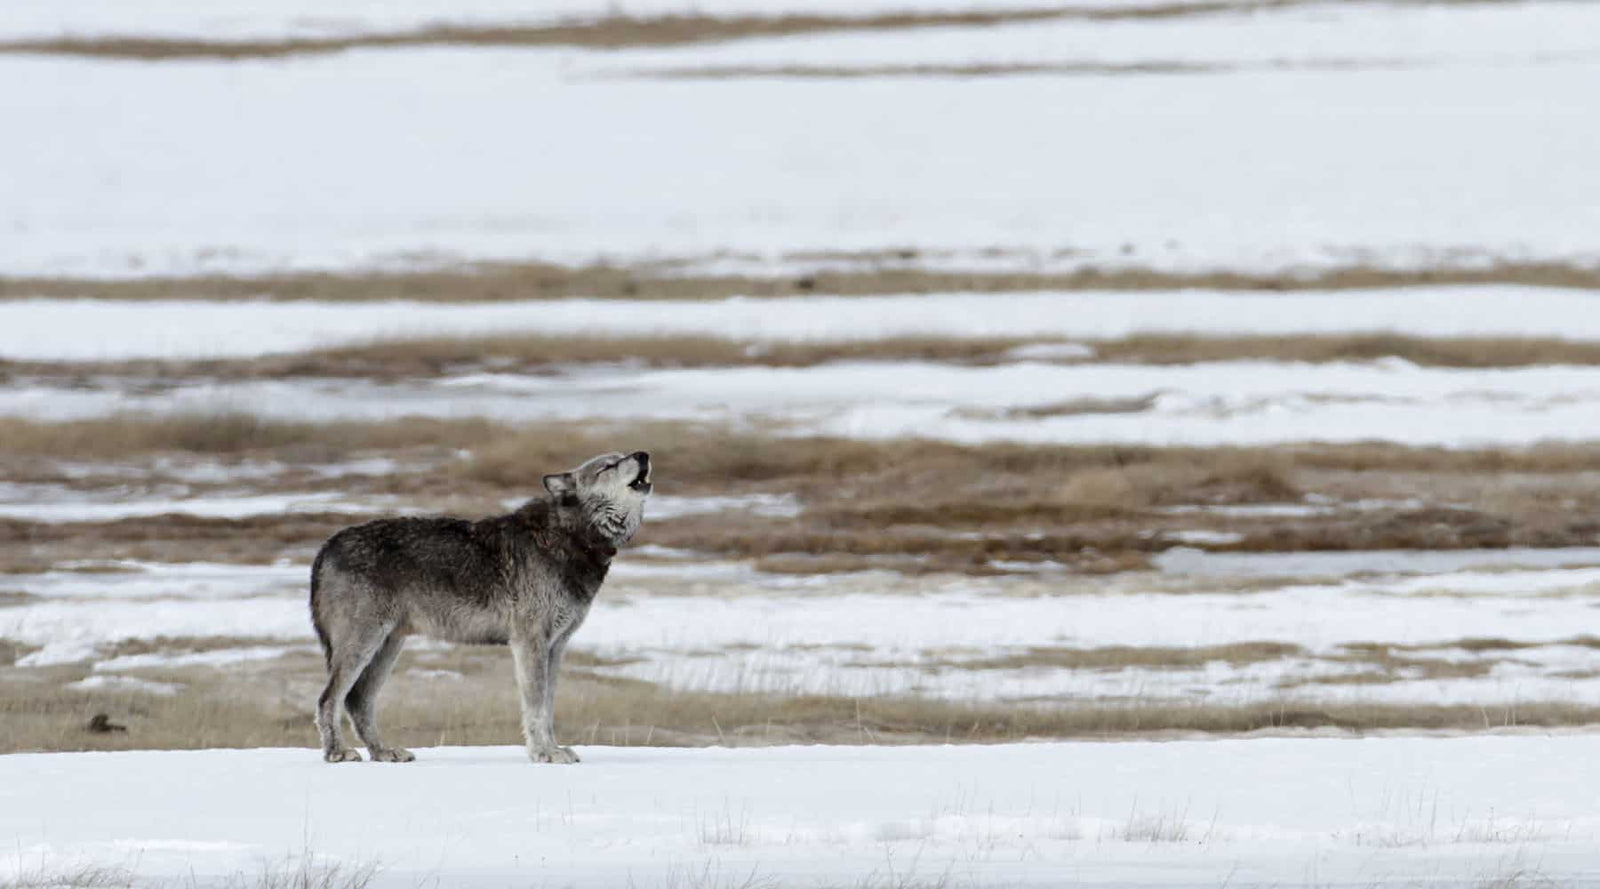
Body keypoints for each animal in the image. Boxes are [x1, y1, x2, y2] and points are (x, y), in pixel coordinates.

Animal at [308, 450, 652, 764]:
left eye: (623, 455)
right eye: (609, 465)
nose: (643, 455)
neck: (571, 537)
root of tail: (326, 546)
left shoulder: (557, 646)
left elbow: (549, 707)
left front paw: (553, 749)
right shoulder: (530, 643)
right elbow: (536, 707)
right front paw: (544, 754)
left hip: (388, 647)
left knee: (358, 700)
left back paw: (383, 752)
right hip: (364, 644)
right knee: (329, 699)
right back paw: (337, 753)